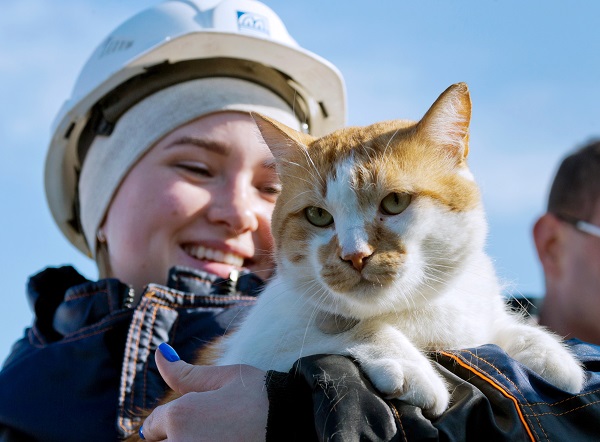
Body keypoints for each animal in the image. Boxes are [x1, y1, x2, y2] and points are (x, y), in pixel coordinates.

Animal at [213, 83, 584, 418]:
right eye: (317, 215)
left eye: (394, 201)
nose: (355, 254)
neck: (412, 310)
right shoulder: (245, 354)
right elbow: (352, 327)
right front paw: (411, 368)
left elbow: (501, 326)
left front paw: (551, 355)